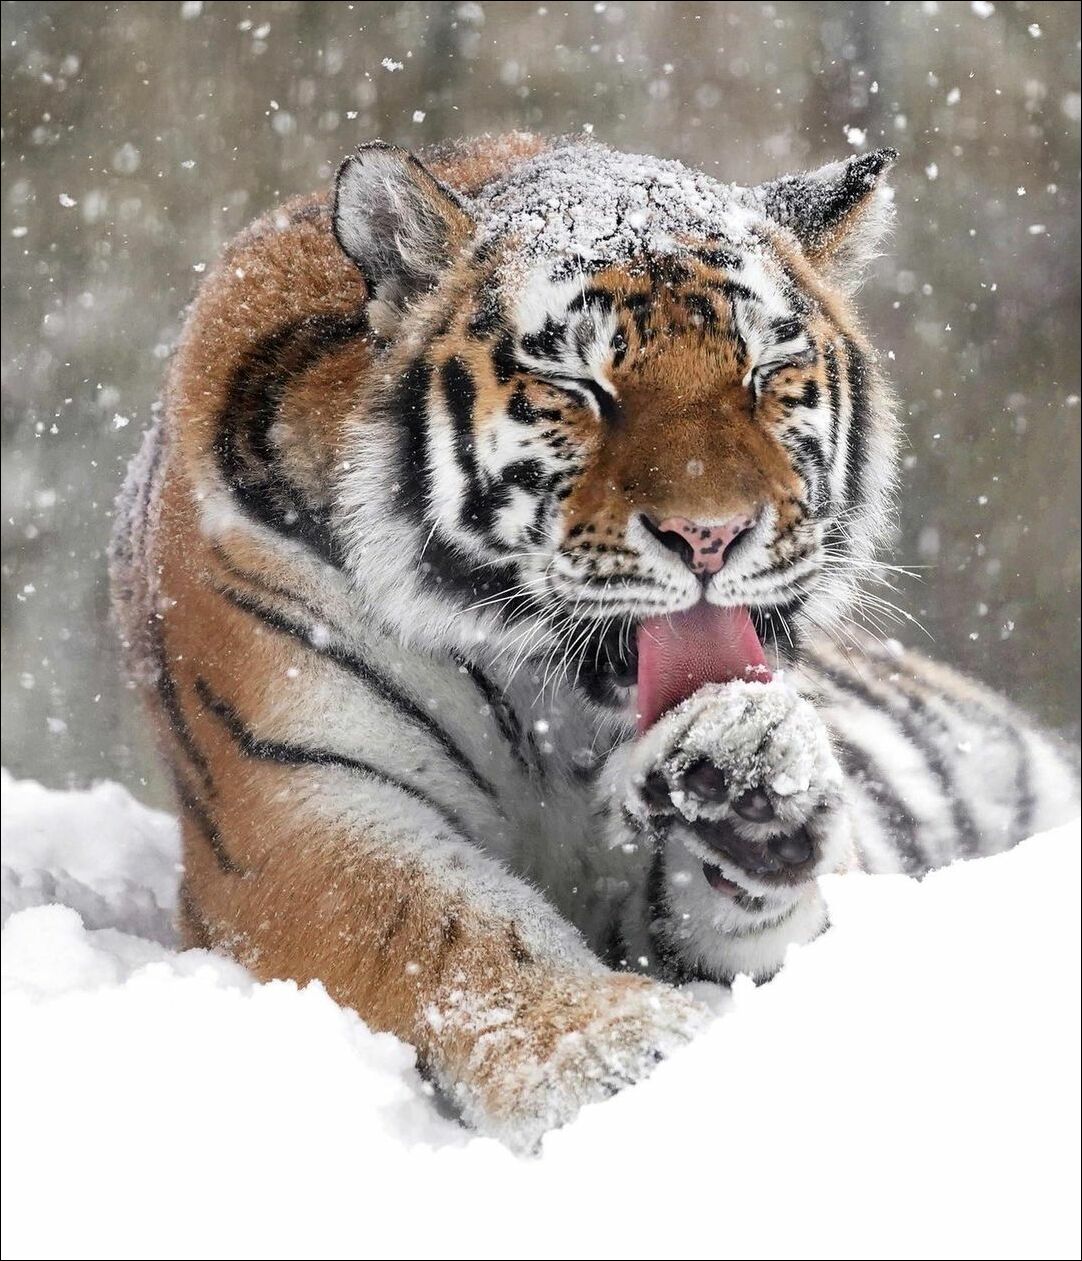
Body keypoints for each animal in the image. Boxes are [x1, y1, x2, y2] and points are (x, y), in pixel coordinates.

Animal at [110, 133, 1078, 1151]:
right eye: (579, 385)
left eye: (765, 372)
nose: (711, 535)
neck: (541, 695)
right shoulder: (292, 803)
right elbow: (439, 931)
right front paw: (616, 1053)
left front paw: (749, 784)